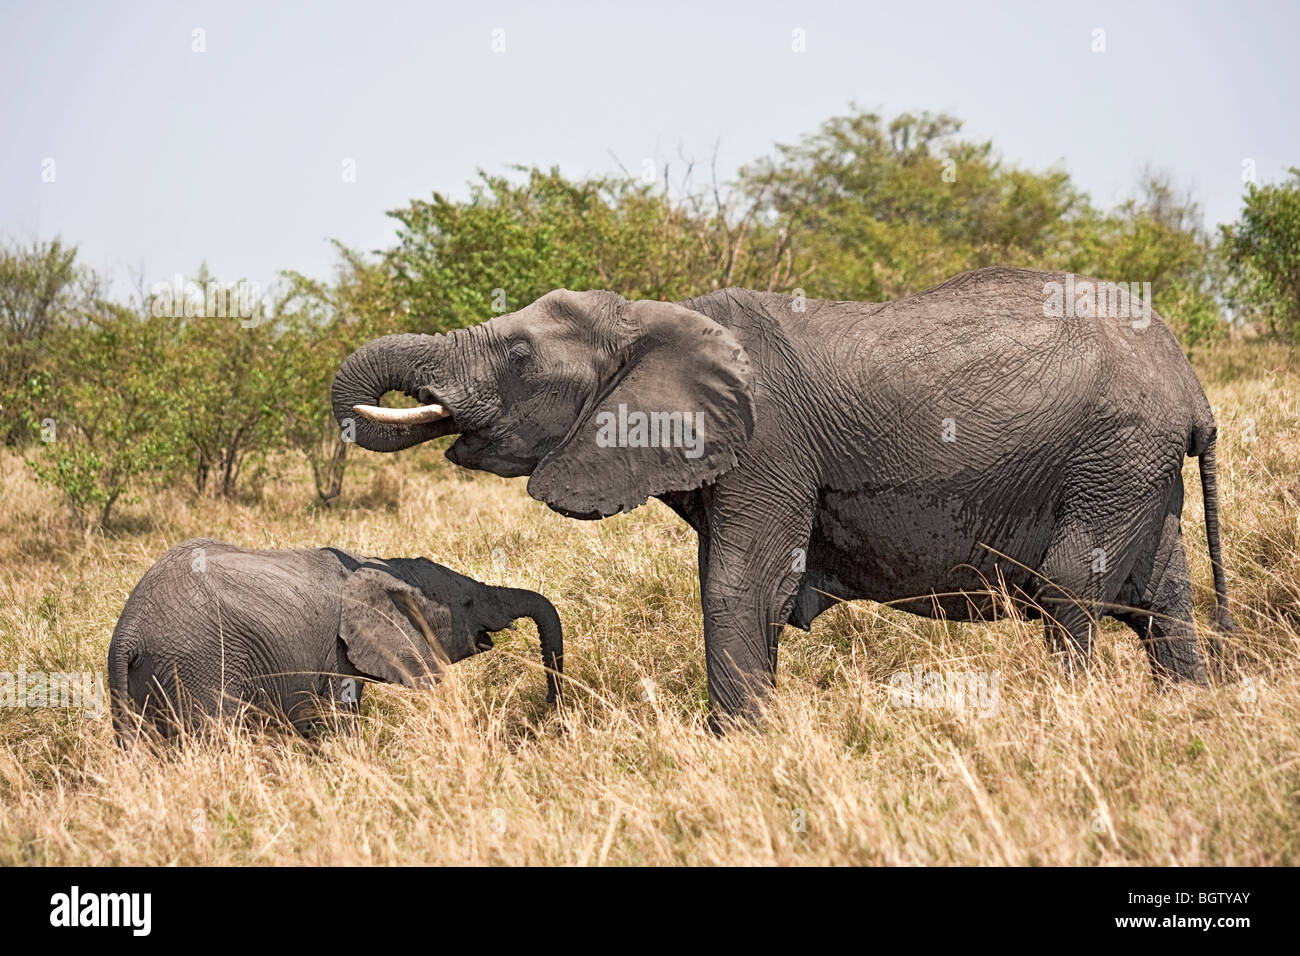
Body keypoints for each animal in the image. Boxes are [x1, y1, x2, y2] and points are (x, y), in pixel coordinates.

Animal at [109, 538, 561, 738]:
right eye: (466, 602)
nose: (551, 706)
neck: (379, 564)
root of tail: (127, 631)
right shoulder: (336, 653)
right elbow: (341, 717)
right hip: (198, 661)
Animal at [332, 267, 1237, 723]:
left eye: (518, 356)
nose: (548, 711)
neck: (656, 313)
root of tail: (1191, 385)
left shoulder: (769, 448)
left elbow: (741, 585)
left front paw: (736, 744)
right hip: (1136, 467)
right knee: (1161, 595)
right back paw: (1192, 711)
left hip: (1115, 451)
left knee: (1069, 589)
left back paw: (1065, 716)